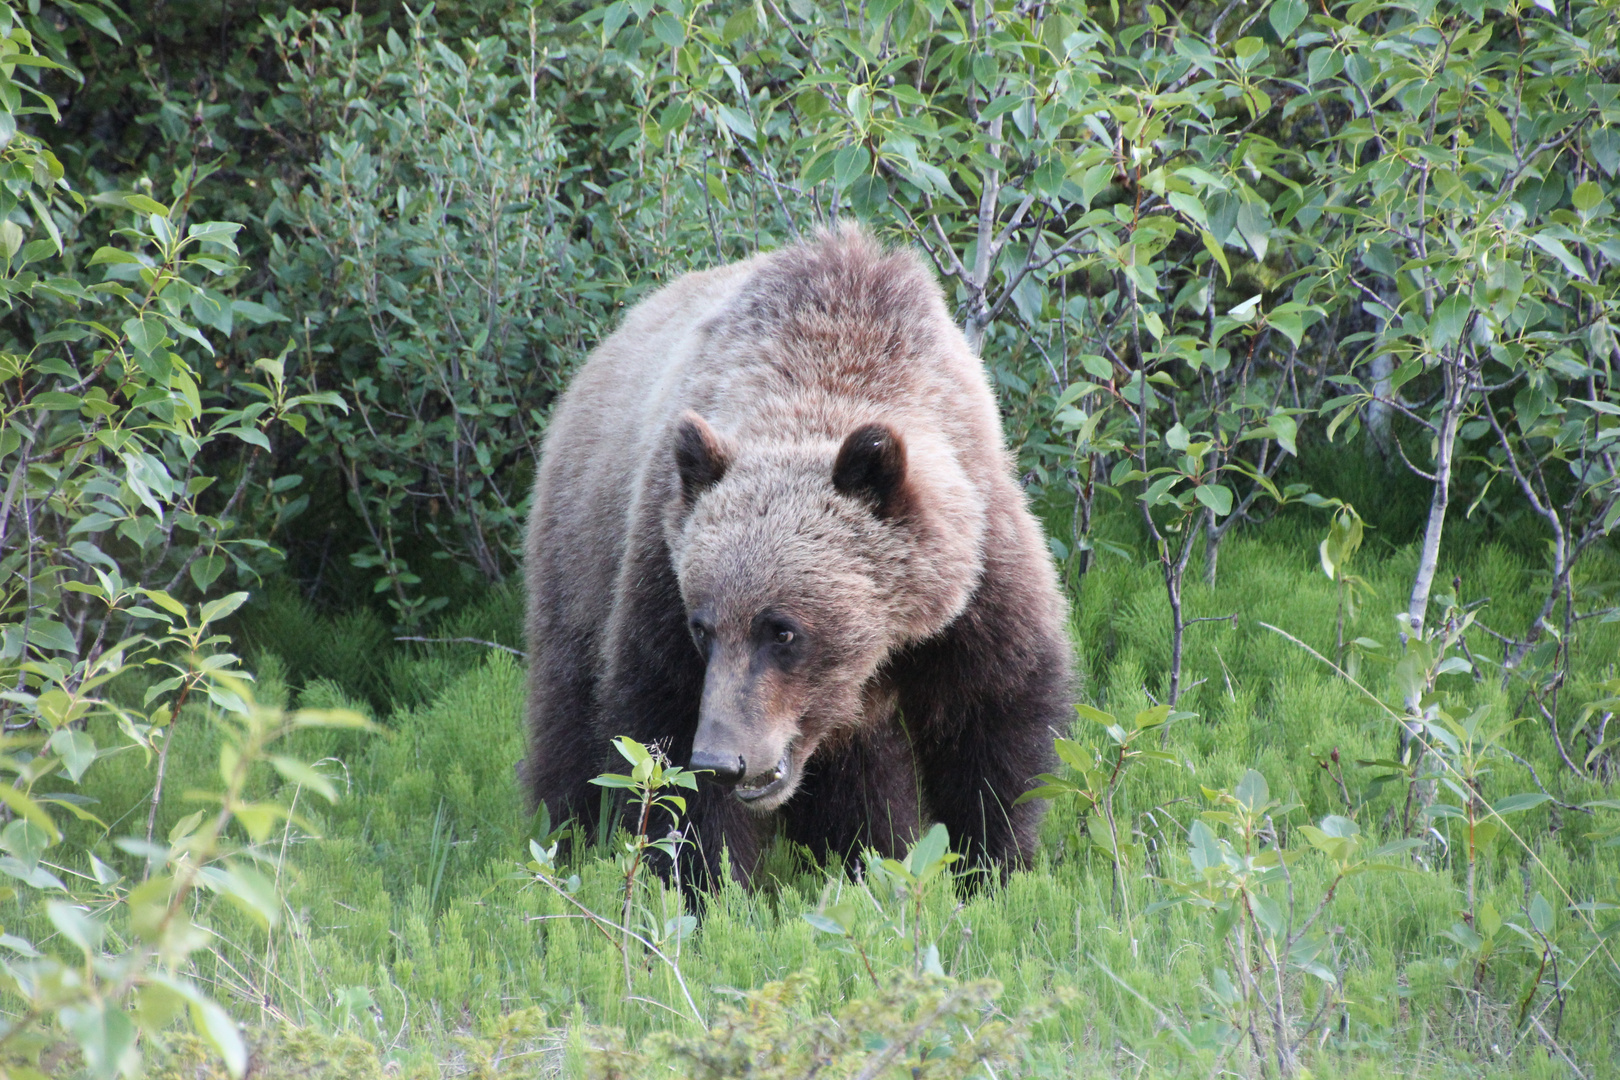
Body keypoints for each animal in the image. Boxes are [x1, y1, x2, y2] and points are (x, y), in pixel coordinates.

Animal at [521, 223, 1075, 880]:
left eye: (782, 630)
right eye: (702, 627)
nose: (723, 759)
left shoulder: (975, 575)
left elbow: (993, 716)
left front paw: (992, 863)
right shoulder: (662, 562)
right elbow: (662, 733)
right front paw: (706, 880)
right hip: (580, 553)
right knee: (569, 712)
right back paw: (565, 832)